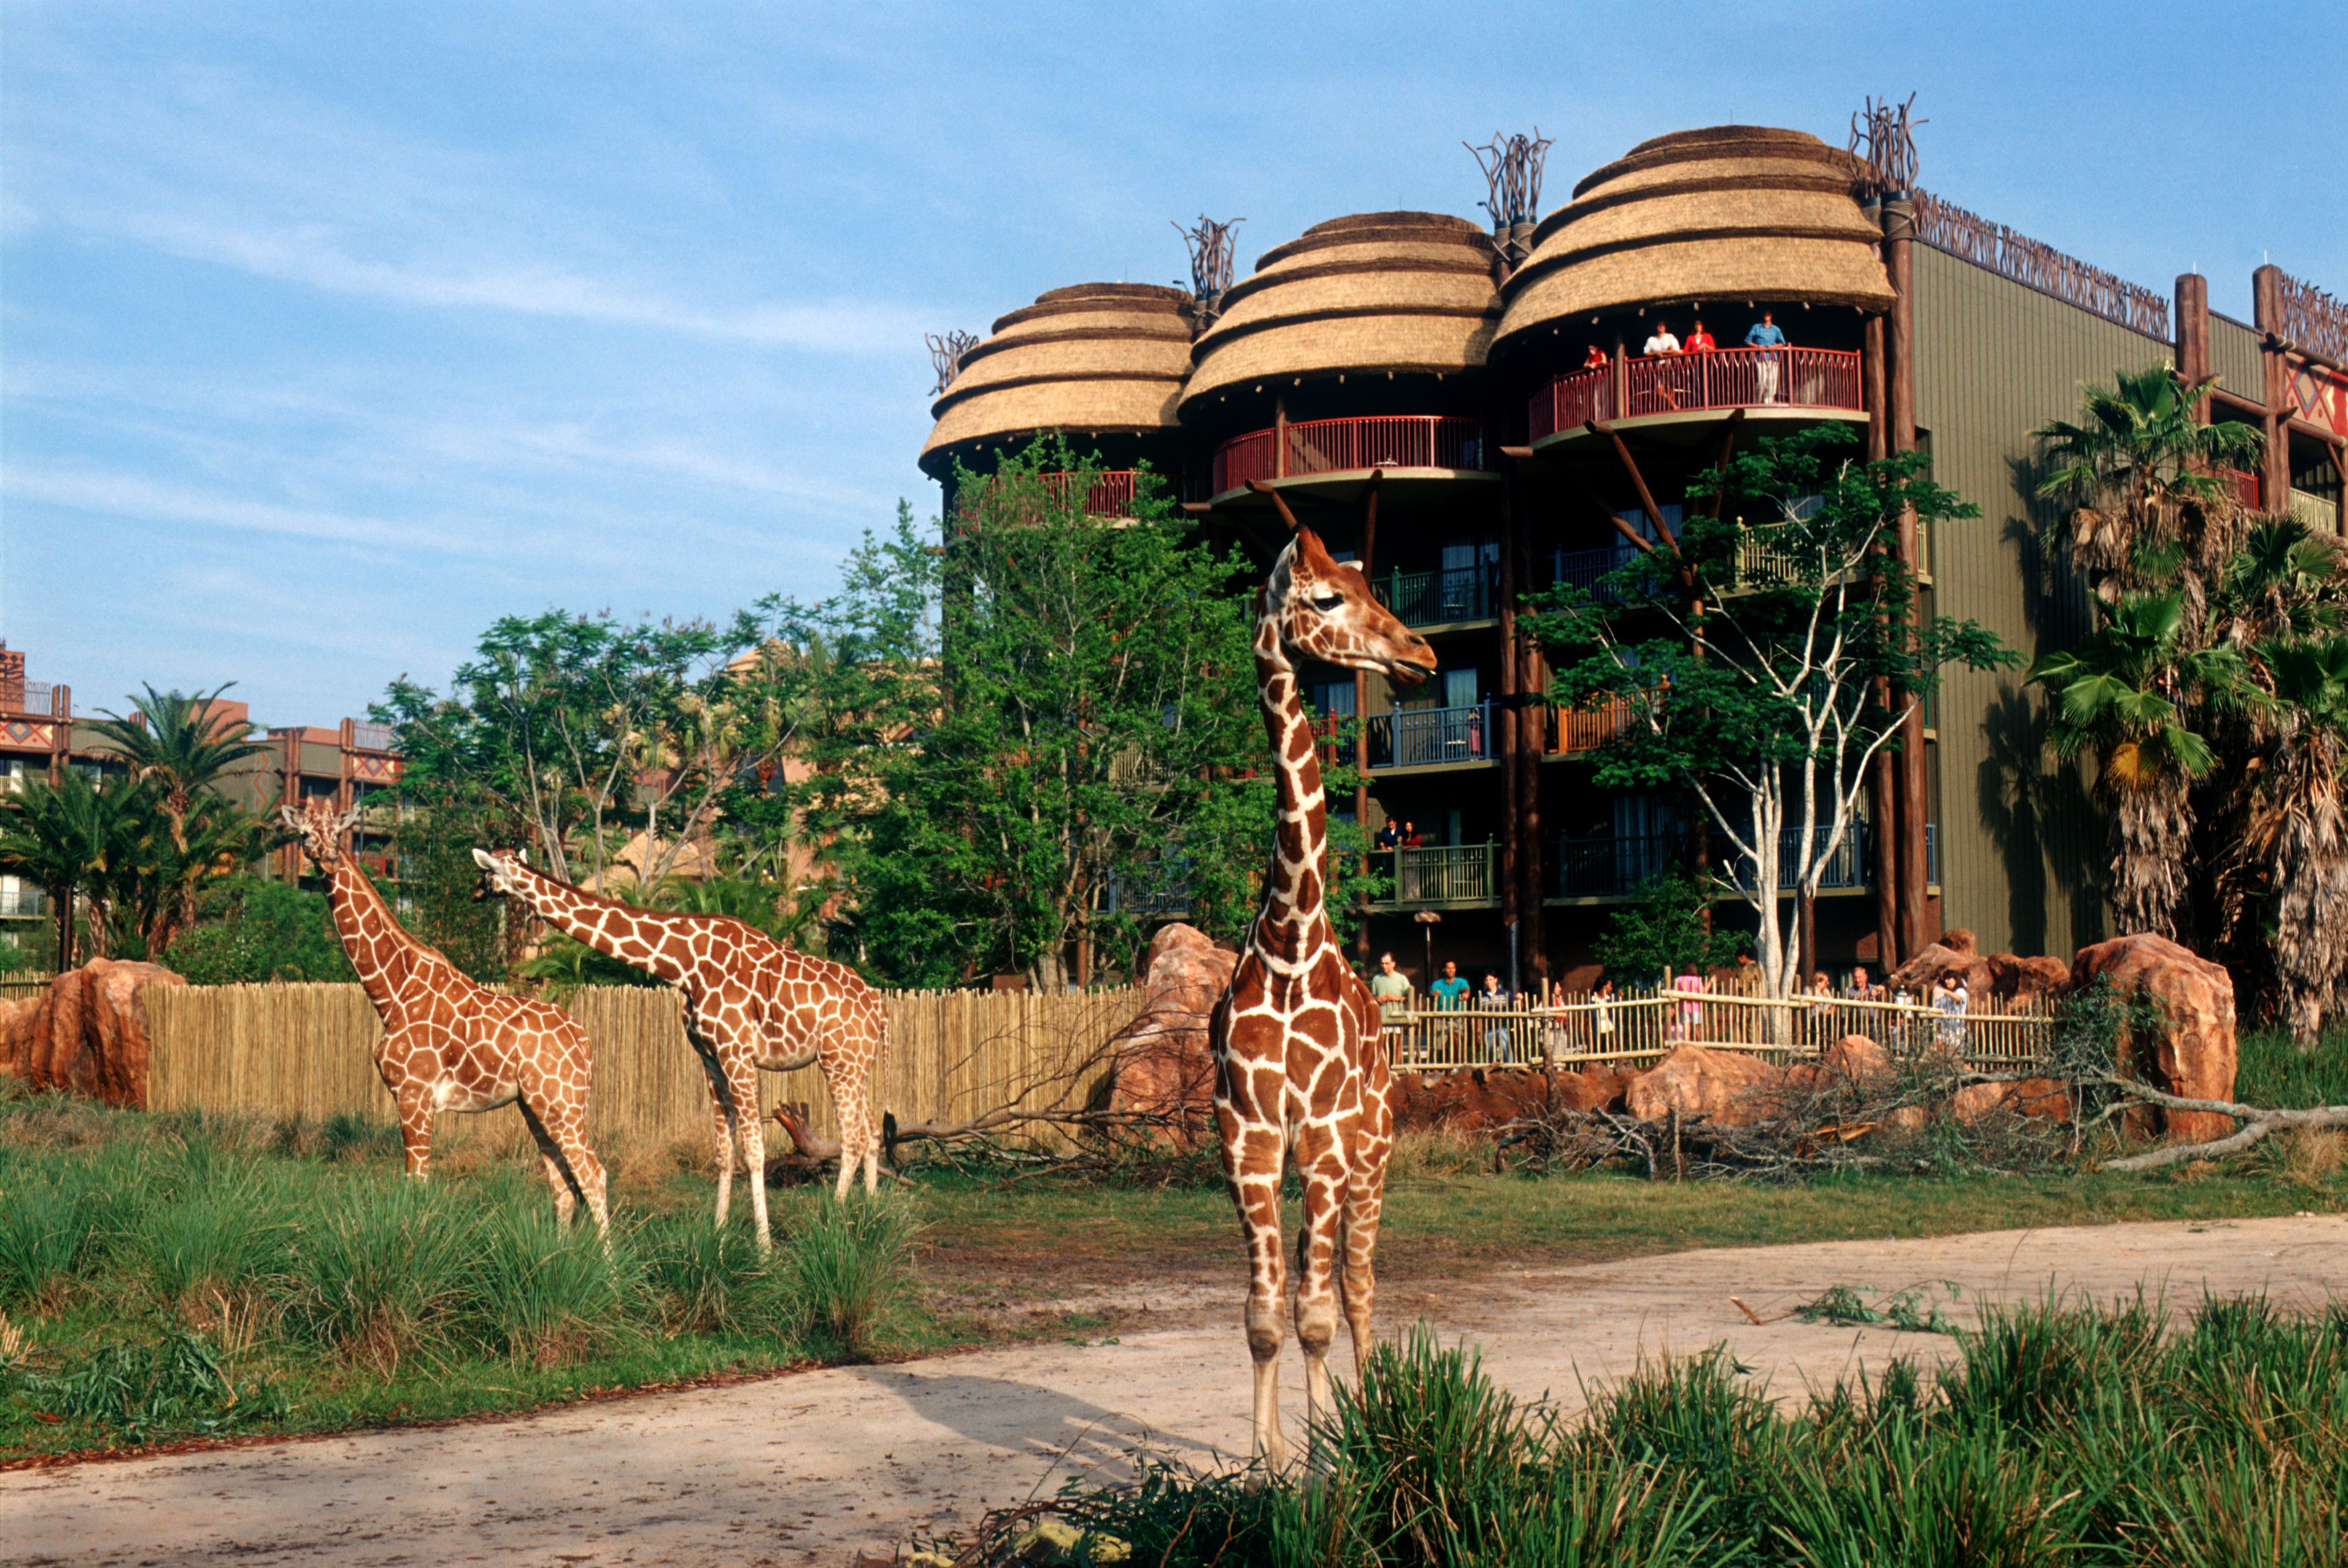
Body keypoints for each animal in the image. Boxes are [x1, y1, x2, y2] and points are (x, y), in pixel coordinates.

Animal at [281, 799, 607, 1236]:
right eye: (304, 833)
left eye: (337, 833)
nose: (329, 857)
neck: (392, 992)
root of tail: (584, 1042)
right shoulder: (414, 1097)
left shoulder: (413, 1093)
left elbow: (417, 1181)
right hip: (537, 1104)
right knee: (562, 1183)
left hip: (562, 1102)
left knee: (592, 1174)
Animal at [470, 850, 885, 1246]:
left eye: (487, 873)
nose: (474, 894)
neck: (686, 965)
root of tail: (878, 1008)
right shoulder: (710, 1057)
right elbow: (724, 1150)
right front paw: (718, 1238)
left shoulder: (737, 1052)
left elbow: (754, 1150)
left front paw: (764, 1248)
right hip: (859, 1064)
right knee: (873, 1132)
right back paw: (866, 1217)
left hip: (839, 1061)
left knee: (853, 1137)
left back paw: (835, 1222)